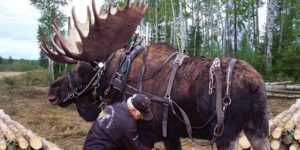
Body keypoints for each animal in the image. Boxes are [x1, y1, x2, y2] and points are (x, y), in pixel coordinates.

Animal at [41, 0, 270, 149]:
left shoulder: (147, 135)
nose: (52, 91)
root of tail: (256, 84)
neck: (118, 78)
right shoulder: (171, 135)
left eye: (83, 69)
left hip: (226, 134)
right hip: (258, 127)